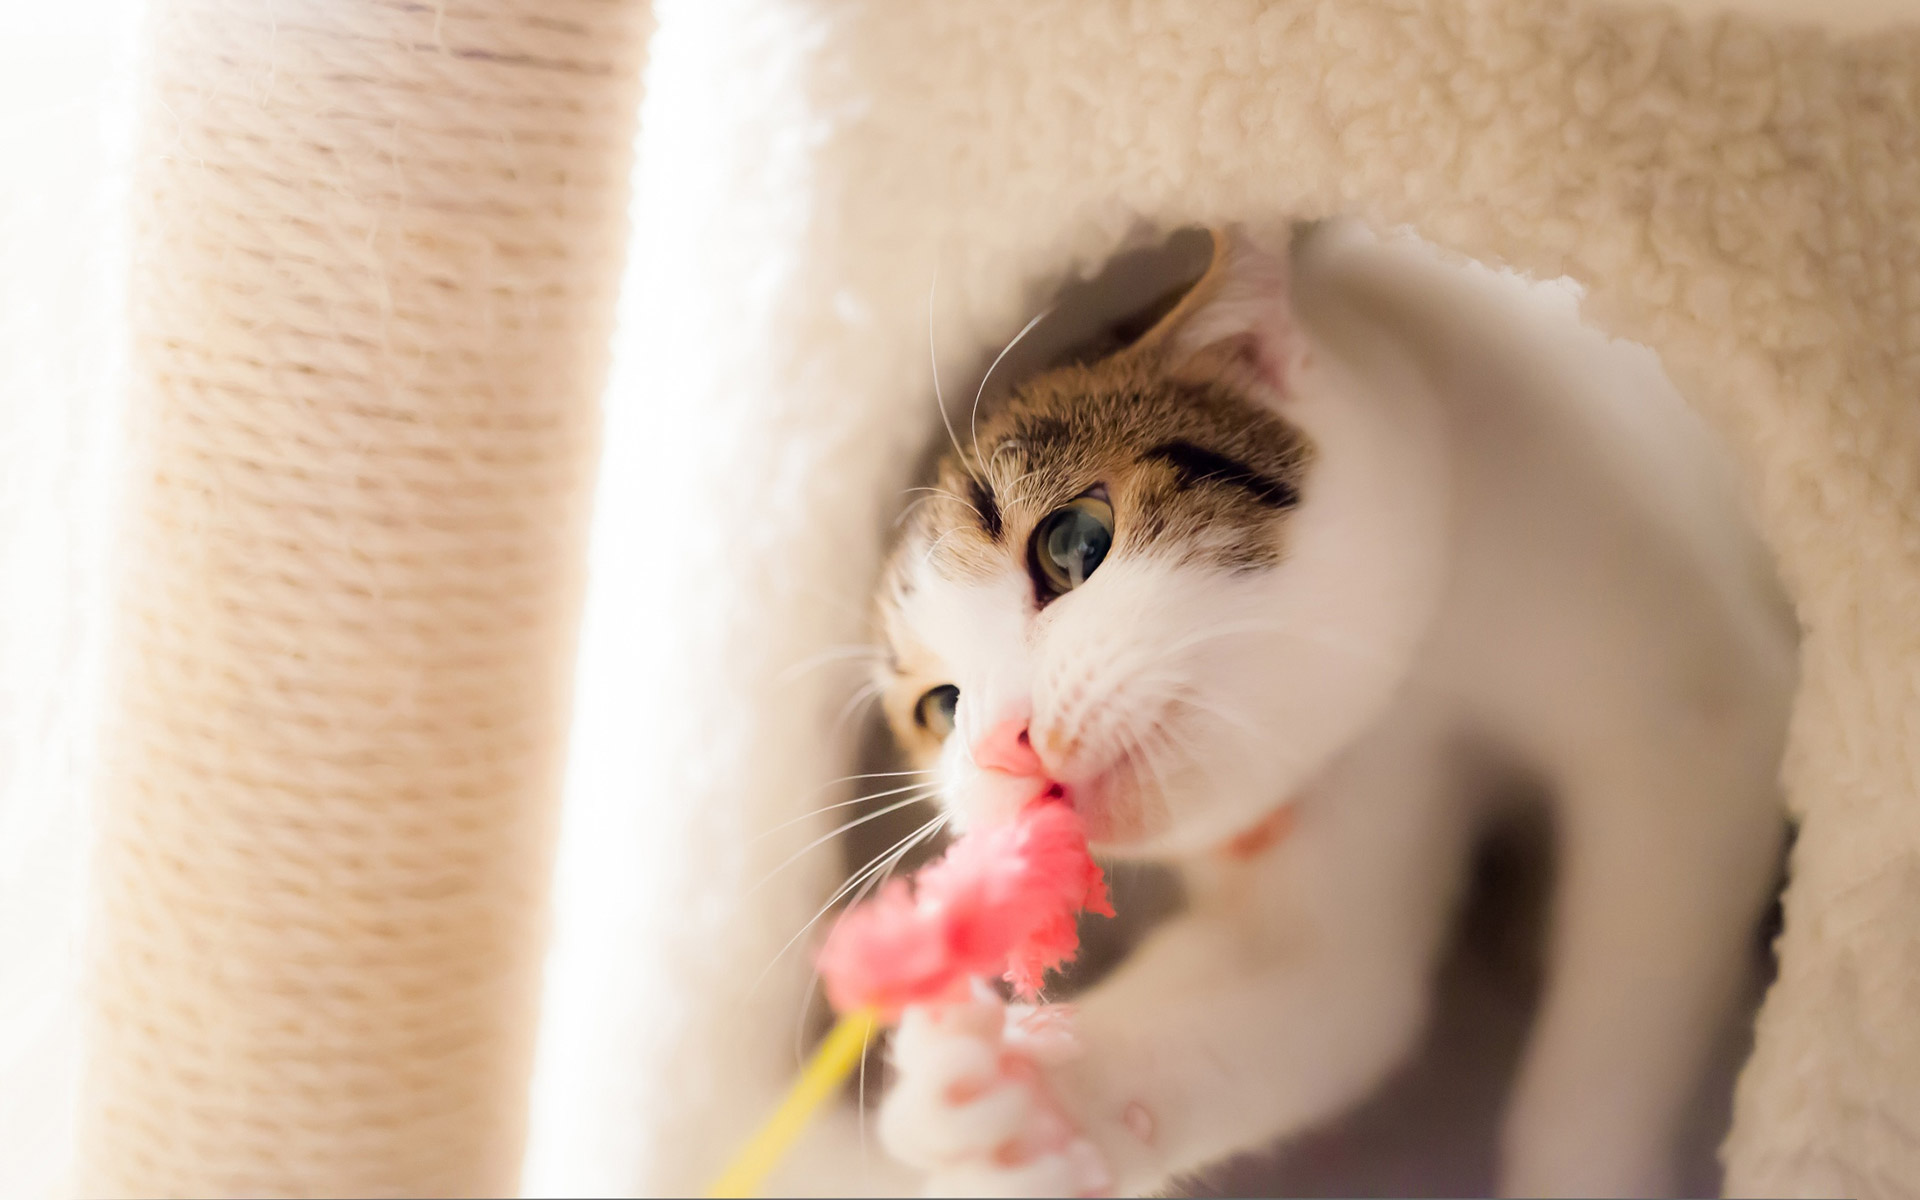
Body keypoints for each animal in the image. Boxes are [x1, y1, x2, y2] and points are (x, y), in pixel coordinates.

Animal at [864, 219, 1789, 1190]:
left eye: (1074, 543)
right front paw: (1010, 1095)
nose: (1002, 746)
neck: (1424, 661)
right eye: (941, 708)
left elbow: (1611, 1041)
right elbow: (1332, 987)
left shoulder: (1690, 719)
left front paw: (1582, 1174)